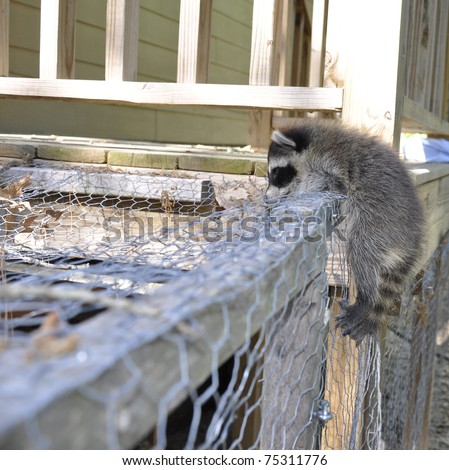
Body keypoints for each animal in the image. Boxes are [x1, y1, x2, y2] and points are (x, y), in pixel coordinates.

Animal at [266, 119, 424, 344]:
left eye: (275, 173)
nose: (267, 198)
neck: (312, 146)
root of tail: (412, 239)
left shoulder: (331, 163)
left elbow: (334, 185)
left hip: (380, 222)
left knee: (362, 249)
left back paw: (366, 298)